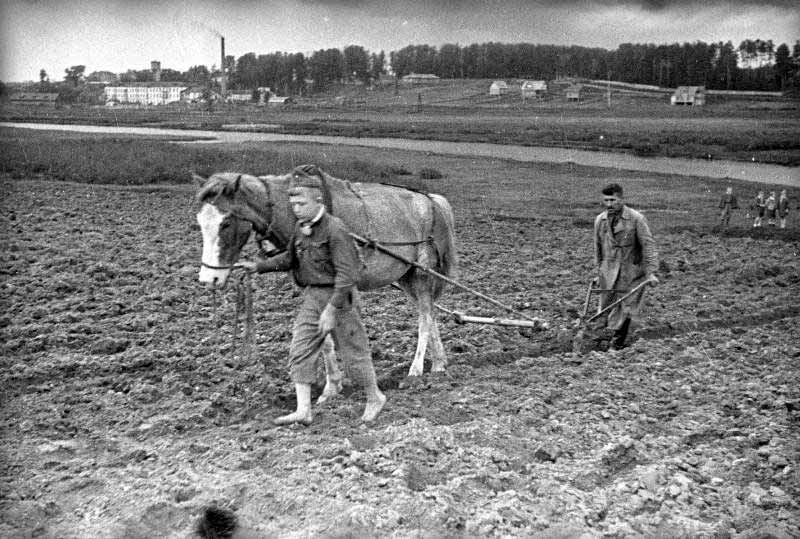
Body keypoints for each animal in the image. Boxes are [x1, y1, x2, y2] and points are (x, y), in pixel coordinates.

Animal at [193, 165, 456, 384]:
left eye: (226, 223)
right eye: (200, 221)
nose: (209, 279)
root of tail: (431, 200)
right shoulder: (315, 284)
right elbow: (326, 337)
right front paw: (333, 384)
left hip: (422, 274)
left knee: (424, 318)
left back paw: (416, 369)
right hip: (407, 276)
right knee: (429, 313)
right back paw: (439, 364)